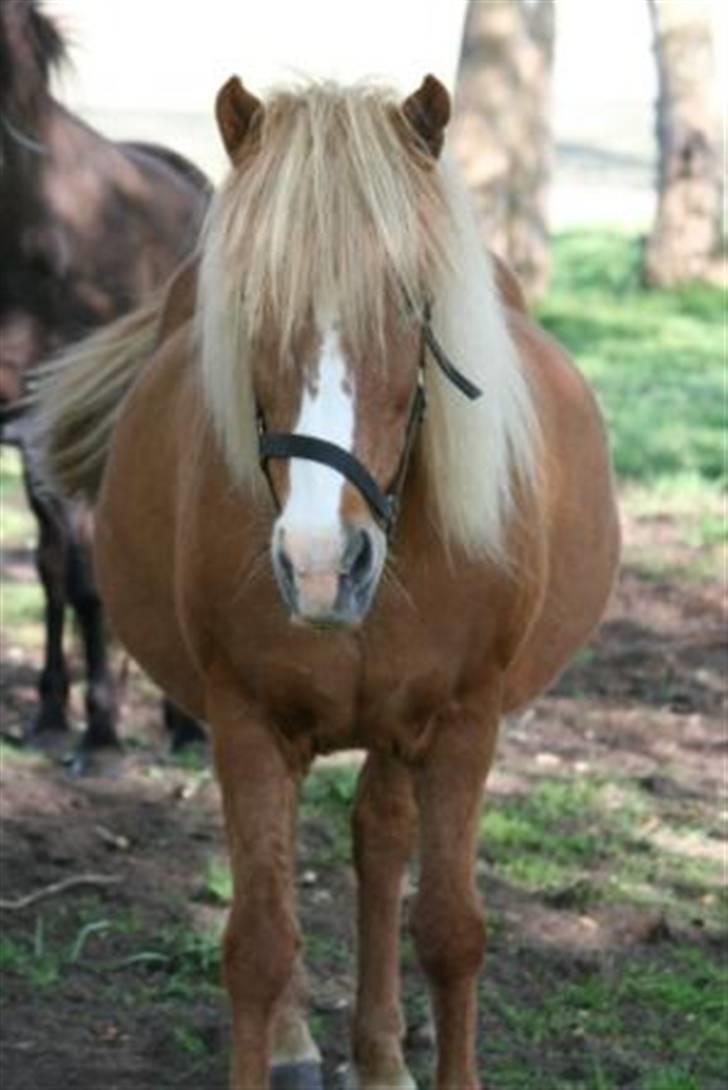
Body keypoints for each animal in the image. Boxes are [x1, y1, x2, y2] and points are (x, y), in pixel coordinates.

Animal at [0, 0, 210, 754]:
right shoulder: (25, 429)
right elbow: (54, 568)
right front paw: (53, 710)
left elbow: (89, 576)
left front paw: (101, 731)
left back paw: (186, 723)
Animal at [39, 76, 619, 1090]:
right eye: (249, 308)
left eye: (414, 305)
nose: (319, 563)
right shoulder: (244, 721)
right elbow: (258, 942)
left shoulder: (464, 720)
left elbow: (451, 933)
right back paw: (305, 1046)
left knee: (380, 841)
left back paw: (381, 1057)